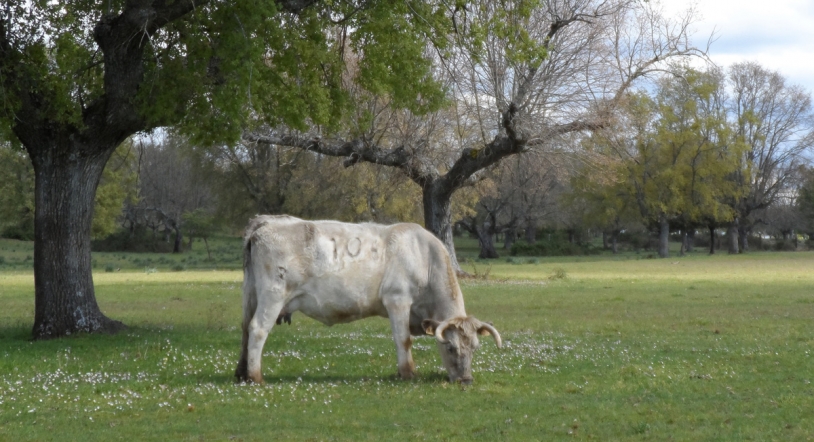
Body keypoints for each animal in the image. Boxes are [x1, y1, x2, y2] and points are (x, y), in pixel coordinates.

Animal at [234, 215, 502, 385]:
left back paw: (241, 373)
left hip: (251, 294)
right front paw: (408, 373)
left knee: (245, 329)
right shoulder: (397, 299)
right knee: (258, 329)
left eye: (475, 347)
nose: (466, 380)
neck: (425, 258)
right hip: (273, 294)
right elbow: (403, 340)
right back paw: (256, 377)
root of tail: (266, 221)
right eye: (450, 347)